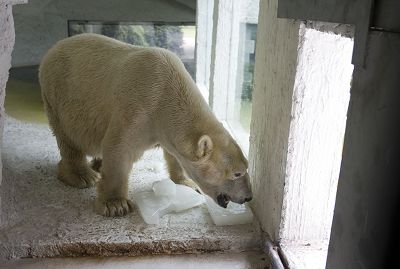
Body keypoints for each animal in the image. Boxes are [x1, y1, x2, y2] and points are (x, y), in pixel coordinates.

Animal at [39, 33, 252, 216]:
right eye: (237, 173)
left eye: (246, 167)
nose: (248, 197)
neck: (167, 95)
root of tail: (53, 48)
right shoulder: (138, 109)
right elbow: (119, 149)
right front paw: (115, 204)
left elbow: (173, 154)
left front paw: (186, 182)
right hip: (58, 95)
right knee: (67, 138)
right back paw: (83, 175)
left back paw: (97, 164)